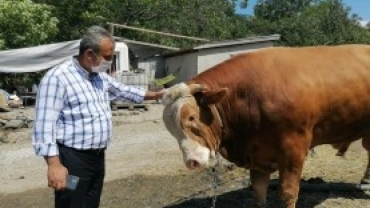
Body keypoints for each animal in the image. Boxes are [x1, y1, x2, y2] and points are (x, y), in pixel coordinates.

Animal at [162, 44, 370, 208]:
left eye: (192, 117)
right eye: (169, 127)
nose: (192, 162)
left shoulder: (295, 150)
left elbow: (288, 193)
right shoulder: (257, 153)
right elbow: (258, 192)